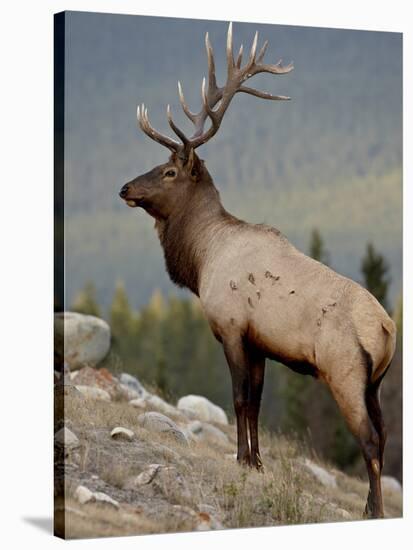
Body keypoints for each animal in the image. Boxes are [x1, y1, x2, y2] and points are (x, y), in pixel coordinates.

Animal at [117, 22, 394, 520]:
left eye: (169, 171)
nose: (125, 187)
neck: (200, 259)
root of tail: (387, 328)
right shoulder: (260, 341)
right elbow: (259, 403)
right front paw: (259, 461)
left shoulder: (230, 327)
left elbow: (239, 397)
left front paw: (242, 460)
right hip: (378, 384)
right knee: (383, 435)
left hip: (344, 370)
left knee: (368, 440)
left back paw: (374, 510)